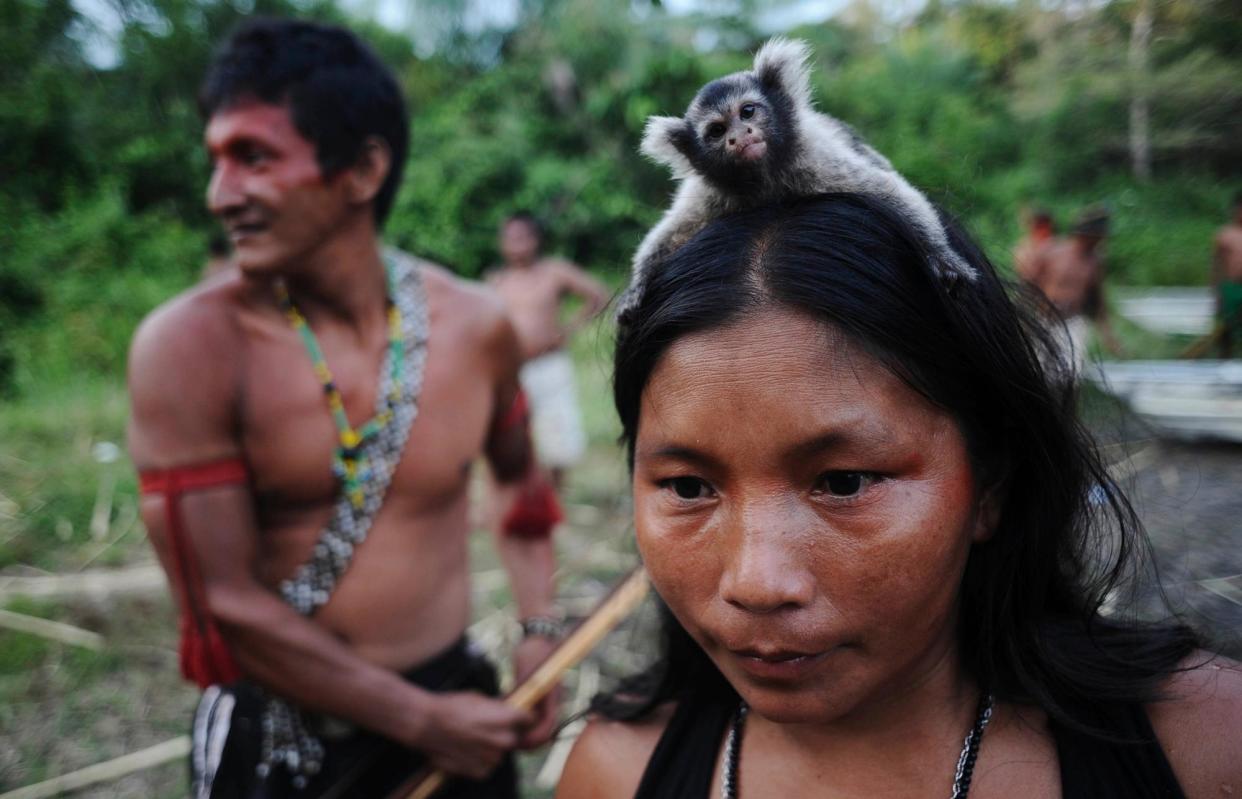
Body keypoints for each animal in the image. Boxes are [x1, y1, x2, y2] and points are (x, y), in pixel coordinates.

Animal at [621, 36, 978, 325]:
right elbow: (670, 232)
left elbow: (890, 191)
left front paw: (940, 253)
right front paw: (636, 286)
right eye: (717, 131)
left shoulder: (813, 164)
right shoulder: (712, 192)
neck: (763, 180)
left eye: (747, 112)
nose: (739, 137)